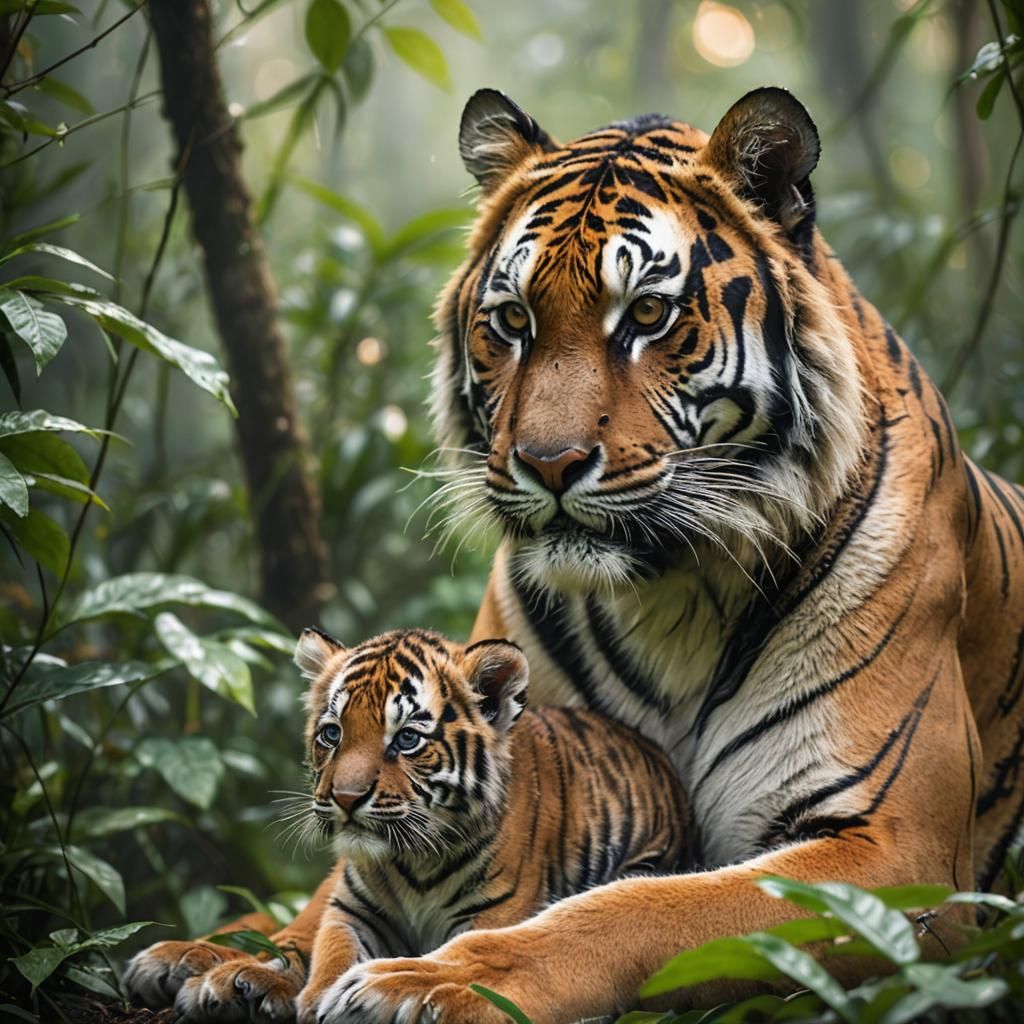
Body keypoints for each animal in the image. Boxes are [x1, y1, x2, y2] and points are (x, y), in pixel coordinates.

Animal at [124, 626, 690, 1022]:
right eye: (332, 733)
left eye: (407, 739)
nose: (345, 798)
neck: (413, 859)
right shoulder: (352, 911)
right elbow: (328, 953)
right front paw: (314, 996)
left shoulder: (492, 915)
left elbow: (465, 956)